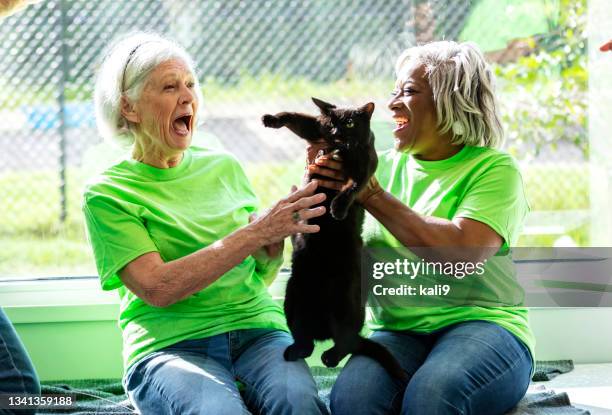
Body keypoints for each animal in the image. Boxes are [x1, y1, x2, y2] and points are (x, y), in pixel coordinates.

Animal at [262, 96, 406, 380]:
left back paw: (330, 356)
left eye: (350, 123)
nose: (338, 133)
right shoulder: (317, 132)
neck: (341, 149)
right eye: (331, 124)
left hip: (345, 301)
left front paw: (338, 208)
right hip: (294, 297)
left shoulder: (363, 167)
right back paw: (296, 350)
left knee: (347, 342)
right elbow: (298, 118)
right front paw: (271, 119)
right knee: (305, 342)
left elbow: (350, 187)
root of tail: (323, 331)